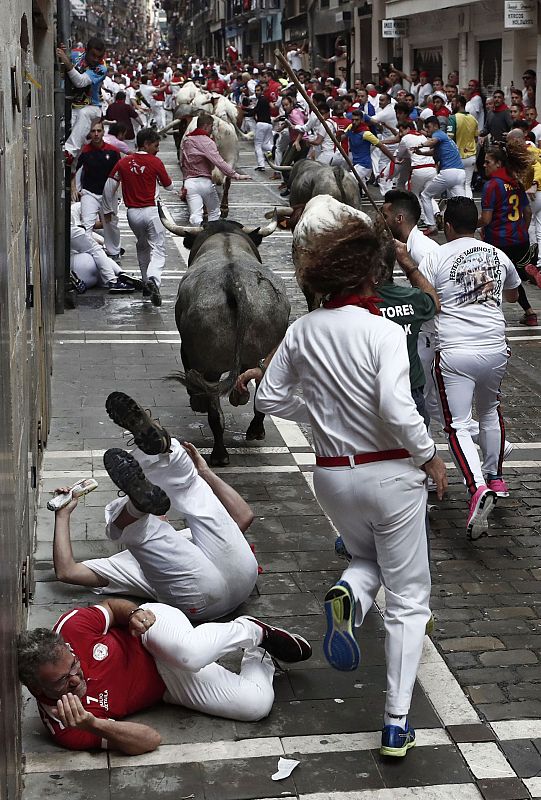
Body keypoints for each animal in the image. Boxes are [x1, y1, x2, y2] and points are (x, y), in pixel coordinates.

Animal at [158, 203, 288, 466]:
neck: (226, 241)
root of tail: (234, 283)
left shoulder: (186, 350)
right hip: (269, 357)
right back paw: (254, 428)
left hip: (209, 366)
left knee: (214, 410)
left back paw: (219, 453)